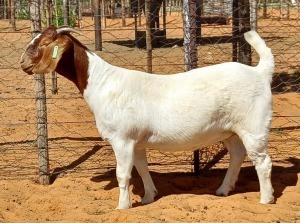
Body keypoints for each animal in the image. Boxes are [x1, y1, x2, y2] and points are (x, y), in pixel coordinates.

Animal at [20, 25, 274, 209]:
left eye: (44, 44)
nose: (22, 63)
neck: (102, 82)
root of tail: (260, 72)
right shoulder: (137, 141)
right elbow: (142, 169)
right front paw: (148, 197)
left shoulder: (122, 139)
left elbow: (123, 175)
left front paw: (122, 207)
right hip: (230, 130)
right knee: (237, 155)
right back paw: (223, 190)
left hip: (254, 126)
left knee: (262, 161)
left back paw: (266, 199)